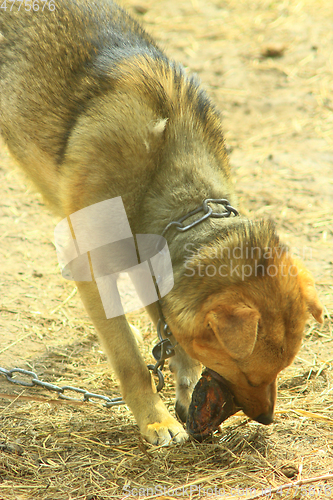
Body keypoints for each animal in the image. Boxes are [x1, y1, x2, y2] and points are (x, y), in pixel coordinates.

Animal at [0, 0, 322, 446]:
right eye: (249, 372)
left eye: (281, 370)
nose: (267, 419)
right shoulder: (93, 269)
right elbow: (130, 361)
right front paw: (155, 420)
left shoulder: (148, 265)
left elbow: (167, 337)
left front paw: (180, 387)